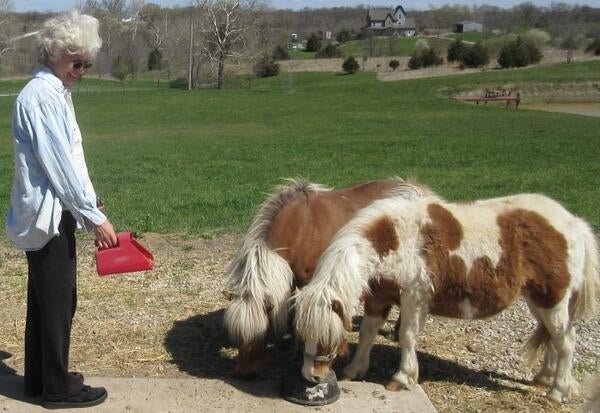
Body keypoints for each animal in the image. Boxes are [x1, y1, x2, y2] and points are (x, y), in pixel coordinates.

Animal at [223, 177, 434, 376]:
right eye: (237, 335)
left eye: (261, 334)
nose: (244, 373)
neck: (301, 228)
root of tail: (419, 190)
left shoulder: (314, 283)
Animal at [296, 194, 600, 402]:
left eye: (327, 336)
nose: (312, 376)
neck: (393, 240)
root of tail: (574, 222)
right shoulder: (379, 296)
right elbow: (368, 333)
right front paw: (355, 369)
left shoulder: (414, 297)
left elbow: (407, 337)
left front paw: (402, 378)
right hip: (539, 302)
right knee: (554, 339)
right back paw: (543, 379)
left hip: (553, 300)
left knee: (566, 342)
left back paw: (557, 391)